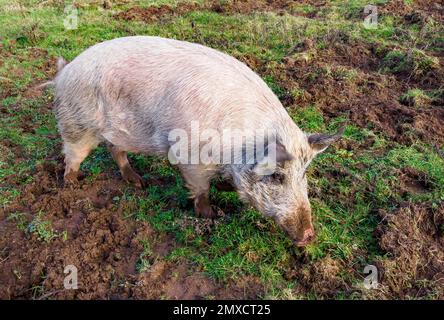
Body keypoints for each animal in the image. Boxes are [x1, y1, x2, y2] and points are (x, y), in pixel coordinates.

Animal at [53, 35, 344, 245]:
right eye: (276, 176)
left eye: (304, 174)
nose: (309, 236)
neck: (235, 149)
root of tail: (65, 71)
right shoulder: (190, 156)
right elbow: (201, 189)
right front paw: (211, 215)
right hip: (77, 124)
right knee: (71, 156)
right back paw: (72, 184)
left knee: (115, 149)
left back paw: (138, 183)